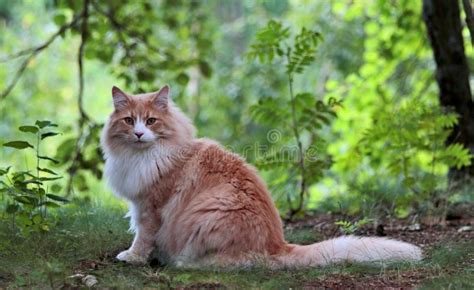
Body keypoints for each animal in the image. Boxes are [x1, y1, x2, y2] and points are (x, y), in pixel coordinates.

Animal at [100, 85, 422, 268]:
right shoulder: (141, 203)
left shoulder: (150, 206)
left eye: (151, 120)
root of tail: (278, 245)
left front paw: (133, 257)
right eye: (129, 121)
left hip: (210, 213)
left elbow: (143, 237)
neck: (143, 156)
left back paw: (180, 262)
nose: (139, 133)